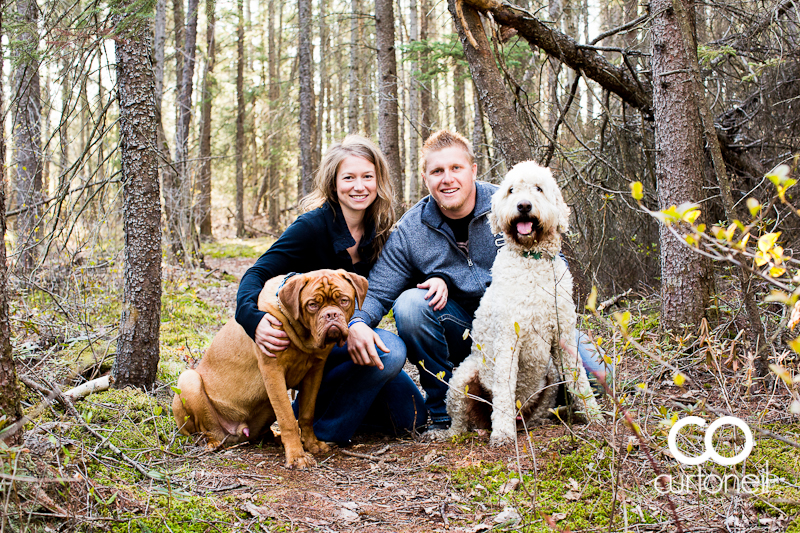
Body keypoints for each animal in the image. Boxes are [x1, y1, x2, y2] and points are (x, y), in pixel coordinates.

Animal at [175, 268, 368, 468]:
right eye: (312, 305)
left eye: (344, 300)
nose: (331, 315)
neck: (302, 337)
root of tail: (236, 433)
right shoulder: (273, 371)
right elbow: (287, 417)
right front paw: (297, 456)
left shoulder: (315, 372)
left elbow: (307, 414)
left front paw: (312, 444)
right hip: (189, 380)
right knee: (203, 430)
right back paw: (211, 442)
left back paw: (273, 437)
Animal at [444, 161, 600, 444]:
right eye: (511, 190)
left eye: (538, 188)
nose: (524, 206)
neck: (532, 260)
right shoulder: (508, 339)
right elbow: (504, 390)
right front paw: (502, 435)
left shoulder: (563, 335)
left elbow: (579, 378)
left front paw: (595, 417)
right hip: (462, 378)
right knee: (461, 419)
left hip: (550, 375)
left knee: (539, 411)